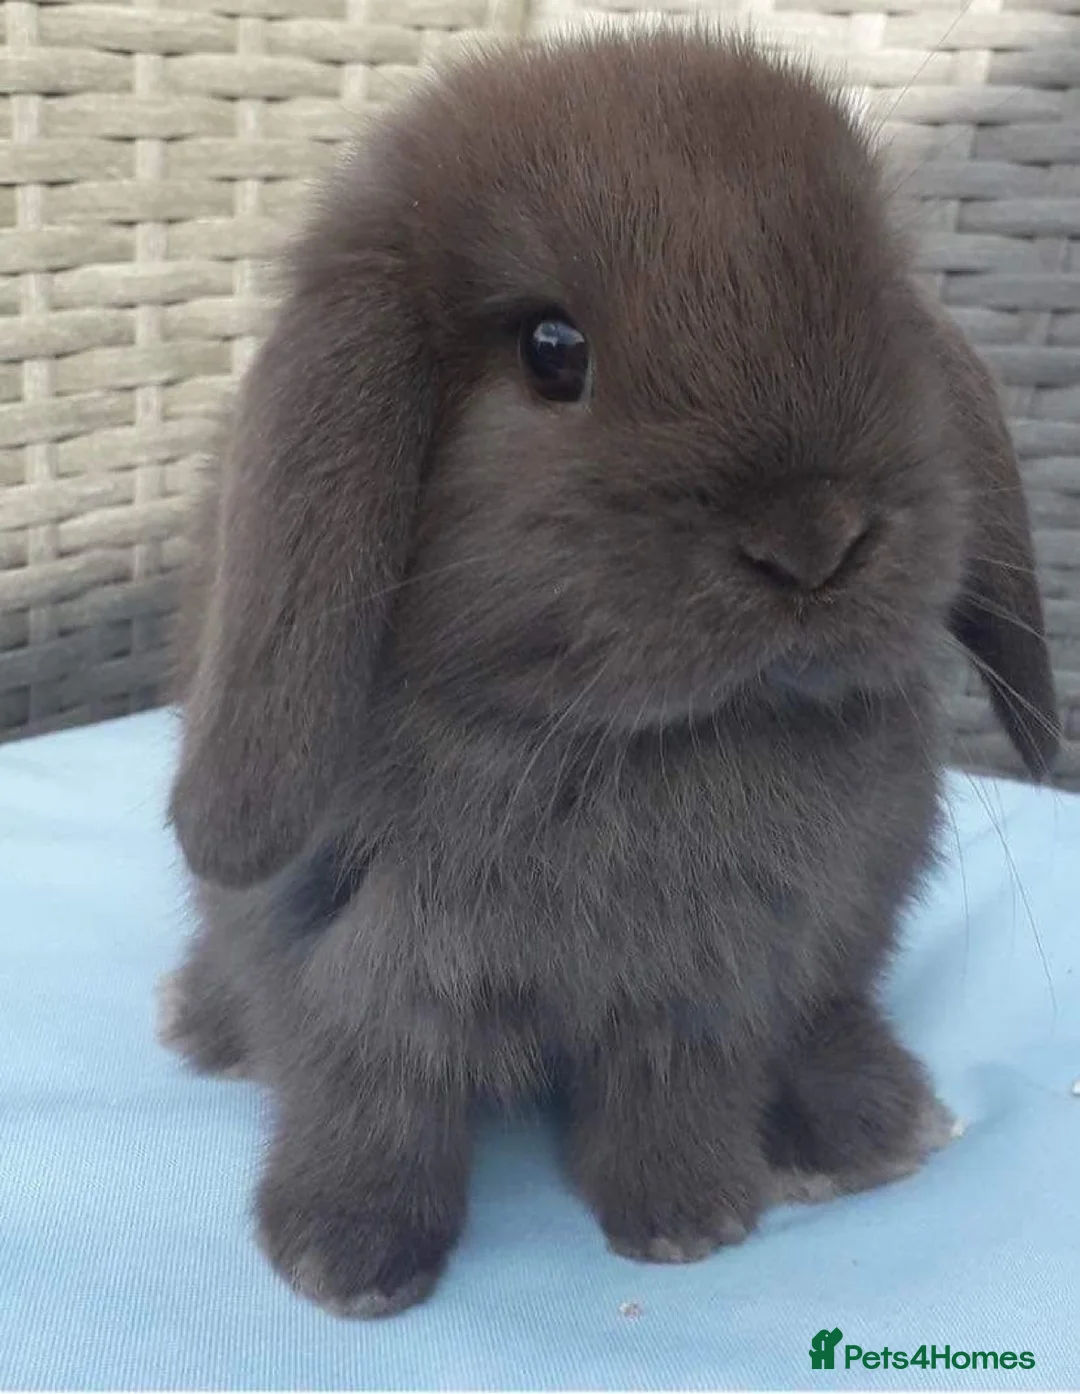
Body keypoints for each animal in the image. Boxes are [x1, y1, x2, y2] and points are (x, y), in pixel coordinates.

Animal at [159, 27, 1060, 1318]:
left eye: (881, 301)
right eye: (552, 349)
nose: (814, 540)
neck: (614, 742)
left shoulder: (709, 985)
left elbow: (671, 1093)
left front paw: (689, 1220)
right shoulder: (353, 969)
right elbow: (369, 1105)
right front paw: (345, 1262)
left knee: (833, 1008)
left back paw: (874, 1123)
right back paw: (204, 1027)